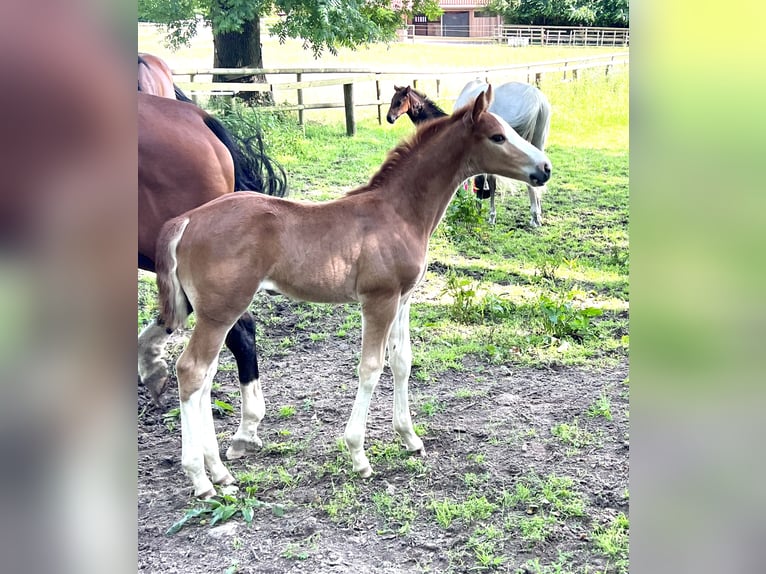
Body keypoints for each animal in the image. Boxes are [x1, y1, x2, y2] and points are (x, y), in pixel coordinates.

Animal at [456, 80, 552, 227]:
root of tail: (534, 98)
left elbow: (489, 182)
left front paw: (489, 215)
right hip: (538, 143)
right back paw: (537, 215)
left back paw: (534, 216)